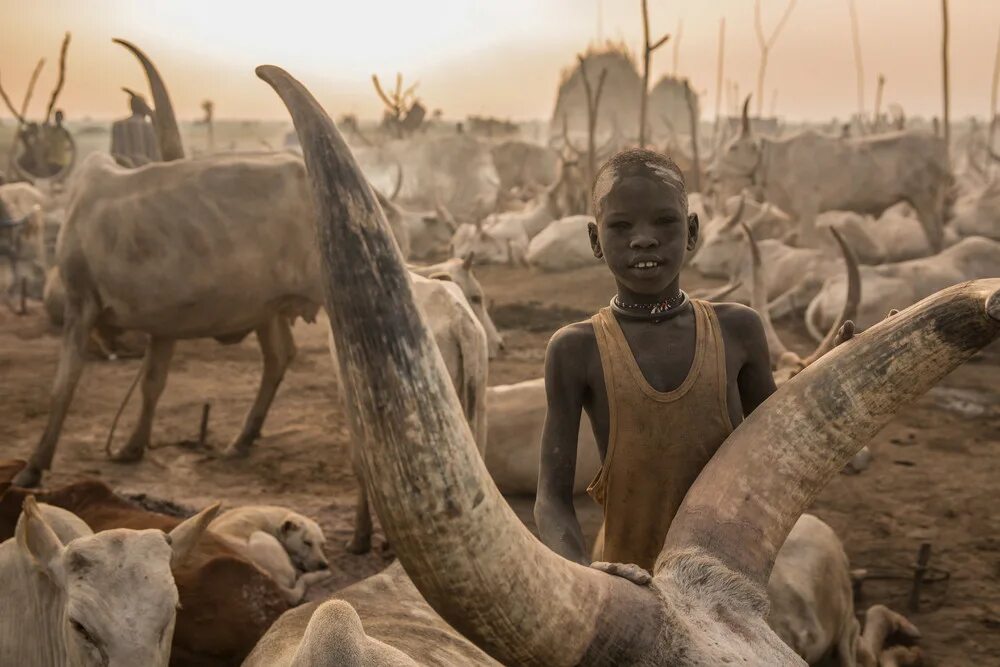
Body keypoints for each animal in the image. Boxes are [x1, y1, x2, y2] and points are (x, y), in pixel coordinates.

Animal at [708, 98, 948, 253]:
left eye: (733, 147)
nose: (712, 174)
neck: (776, 159)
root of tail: (937, 141)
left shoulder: (808, 207)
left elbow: (808, 242)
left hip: (925, 198)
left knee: (935, 236)